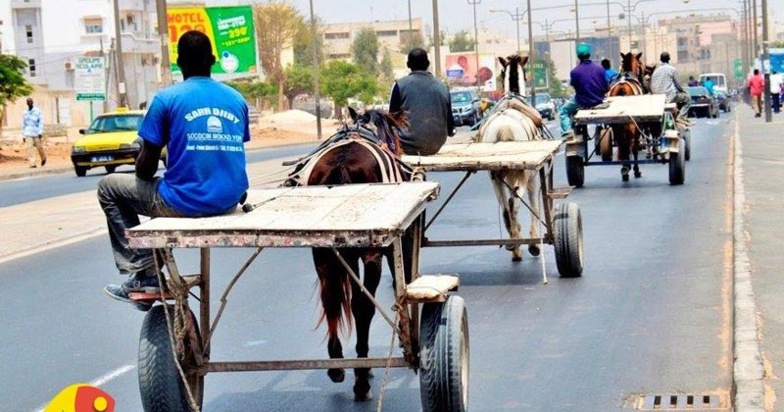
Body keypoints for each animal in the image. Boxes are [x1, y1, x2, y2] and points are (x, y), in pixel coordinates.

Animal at [290, 108, 408, 400]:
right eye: (395, 136)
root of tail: (341, 164)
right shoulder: (386, 249)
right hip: (370, 253)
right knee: (363, 307)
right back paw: (362, 377)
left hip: (322, 252)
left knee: (330, 298)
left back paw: (337, 366)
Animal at [478, 54, 544, 260]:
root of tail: (503, 128)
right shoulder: (534, 178)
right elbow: (535, 206)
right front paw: (534, 243)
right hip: (523, 174)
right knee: (513, 204)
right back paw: (524, 245)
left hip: (494, 176)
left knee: (506, 209)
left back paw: (514, 244)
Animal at [608, 51, 648, 180]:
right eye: (640, 64)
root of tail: (622, 88)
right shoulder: (638, 124)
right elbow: (634, 145)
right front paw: (635, 170)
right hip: (632, 124)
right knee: (631, 144)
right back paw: (633, 168)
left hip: (616, 125)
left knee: (621, 142)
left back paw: (625, 167)